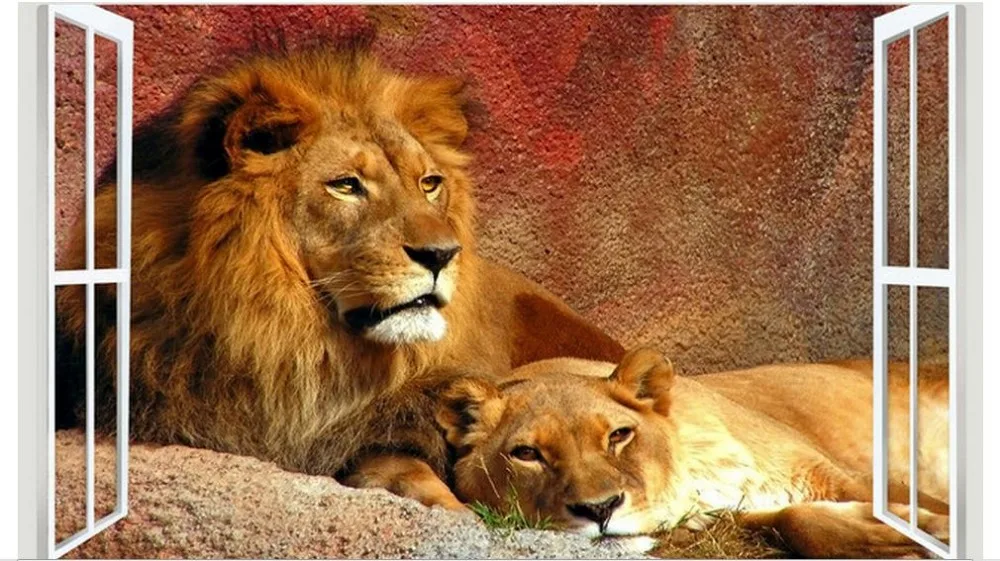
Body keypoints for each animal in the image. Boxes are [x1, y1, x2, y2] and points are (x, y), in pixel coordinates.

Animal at [436, 348, 950, 558]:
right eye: (527, 454)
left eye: (618, 436)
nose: (599, 510)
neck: (697, 473)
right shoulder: (744, 510)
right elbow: (797, 521)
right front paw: (905, 537)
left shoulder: (831, 471)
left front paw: (930, 526)